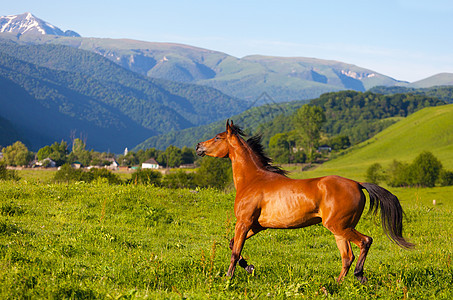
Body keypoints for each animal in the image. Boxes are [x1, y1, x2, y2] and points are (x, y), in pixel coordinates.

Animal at [195, 120, 414, 284]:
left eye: (218, 137)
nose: (198, 147)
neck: (253, 180)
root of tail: (357, 184)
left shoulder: (244, 222)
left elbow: (234, 250)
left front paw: (228, 278)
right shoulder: (257, 225)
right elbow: (233, 244)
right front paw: (249, 267)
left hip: (339, 226)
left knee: (365, 241)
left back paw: (359, 276)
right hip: (340, 229)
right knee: (347, 256)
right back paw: (337, 283)